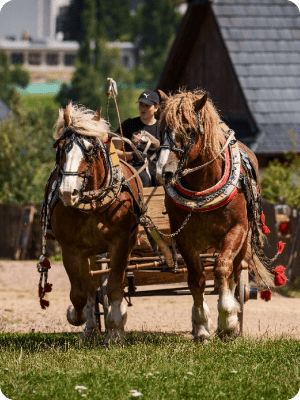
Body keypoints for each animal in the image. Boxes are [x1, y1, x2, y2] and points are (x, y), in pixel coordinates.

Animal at [42, 101, 144, 342]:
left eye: (90, 150)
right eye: (61, 148)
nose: (67, 192)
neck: (92, 204)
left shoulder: (121, 243)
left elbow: (115, 287)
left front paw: (115, 332)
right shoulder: (72, 249)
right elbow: (80, 293)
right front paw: (77, 317)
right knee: (90, 289)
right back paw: (90, 328)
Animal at [157, 89, 284, 340]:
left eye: (189, 130)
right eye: (162, 128)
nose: (163, 171)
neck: (202, 187)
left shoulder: (237, 231)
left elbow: (222, 268)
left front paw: (227, 321)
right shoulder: (184, 239)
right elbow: (196, 278)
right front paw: (201, 327)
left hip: (242, 243)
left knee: (233, 273)